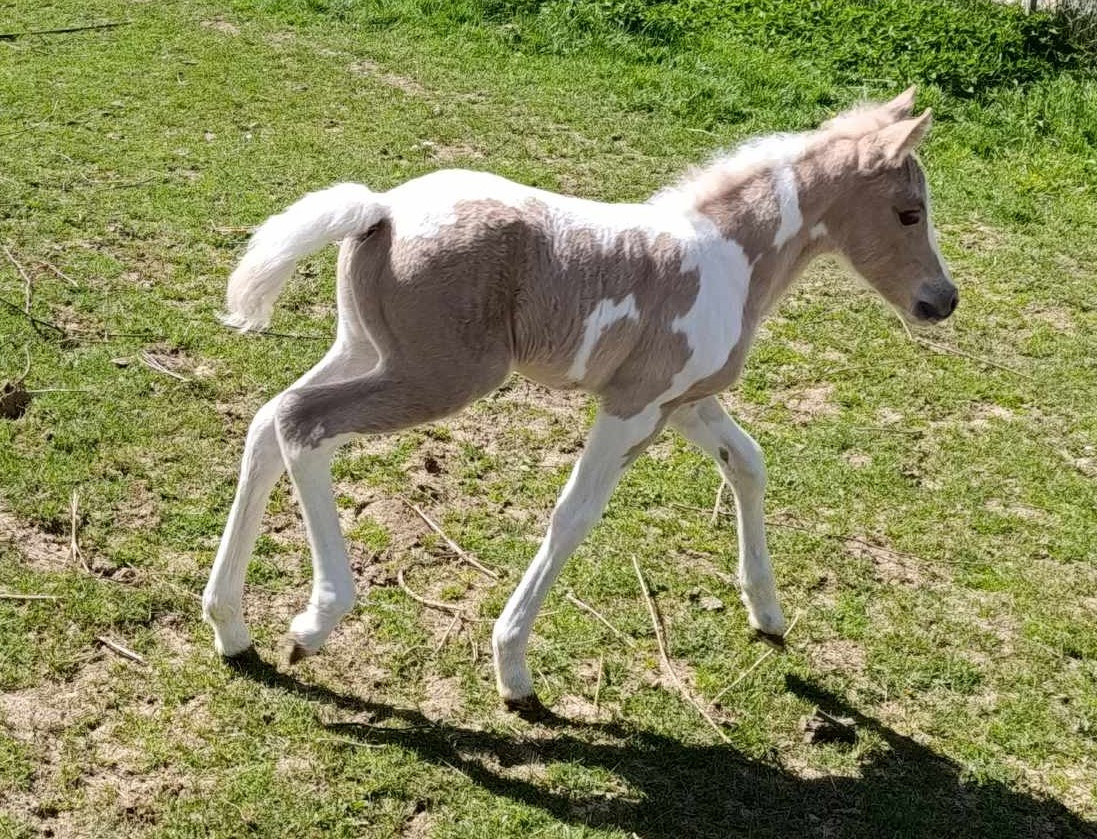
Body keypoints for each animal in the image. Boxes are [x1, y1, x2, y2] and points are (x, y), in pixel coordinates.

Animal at [202, 87, 957, 716]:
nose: (942, 301)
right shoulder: (634, 405)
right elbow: (575, 514)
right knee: (302, 422)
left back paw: (230, 624)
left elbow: (747, 462)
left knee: (267, 421)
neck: (732, 260)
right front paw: (512, 667)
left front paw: (766, 610)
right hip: (436, 377)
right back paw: (314, 621)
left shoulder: (686, 402)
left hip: (365, 348)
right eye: (908, 212)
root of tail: (383, 208)